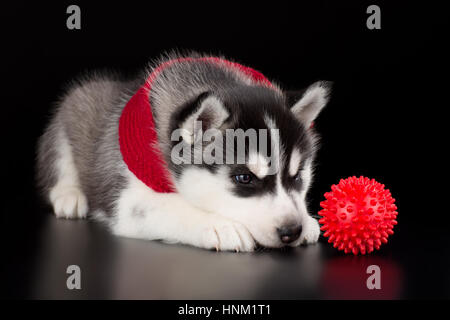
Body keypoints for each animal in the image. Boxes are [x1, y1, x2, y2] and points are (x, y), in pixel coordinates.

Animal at [37, 53, 332, 252]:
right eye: (244, 178)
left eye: (298, 176)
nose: (292, 230)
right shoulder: (128, 200)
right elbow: (172, 206)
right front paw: (220, 225)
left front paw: (308, 219)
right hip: (72, 108)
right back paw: (69, 195)